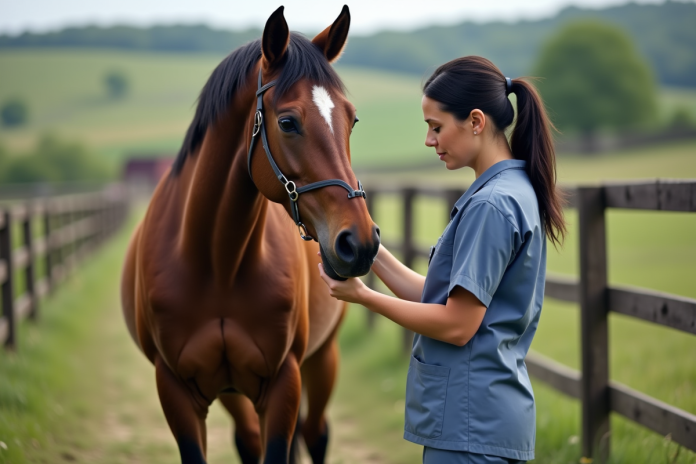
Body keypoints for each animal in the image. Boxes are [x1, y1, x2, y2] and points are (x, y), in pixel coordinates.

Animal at [120, 6, 380, 463]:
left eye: (352, 120)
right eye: (288, 123)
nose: (360, 242)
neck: (217, 265)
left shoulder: (283, 382)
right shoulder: (175, 391)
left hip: (322, 359)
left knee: (315, 433)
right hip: (232, 391)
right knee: (250, 439)